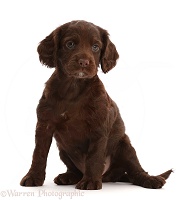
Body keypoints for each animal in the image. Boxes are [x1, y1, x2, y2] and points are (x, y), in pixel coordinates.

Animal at [20, 20, 172, 191]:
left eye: (95, 47)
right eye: (70, 44)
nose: (84, 62)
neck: (73, 88)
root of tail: (109, 176)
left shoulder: (98, 128)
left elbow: (94, 157)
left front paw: (90, 181)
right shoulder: (44, 125)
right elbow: (38, 154)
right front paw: (33, 177)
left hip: (125, 146)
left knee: (136, 171)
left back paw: (151, 179)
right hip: (64, 150)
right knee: (75, 170)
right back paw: (67, 177)